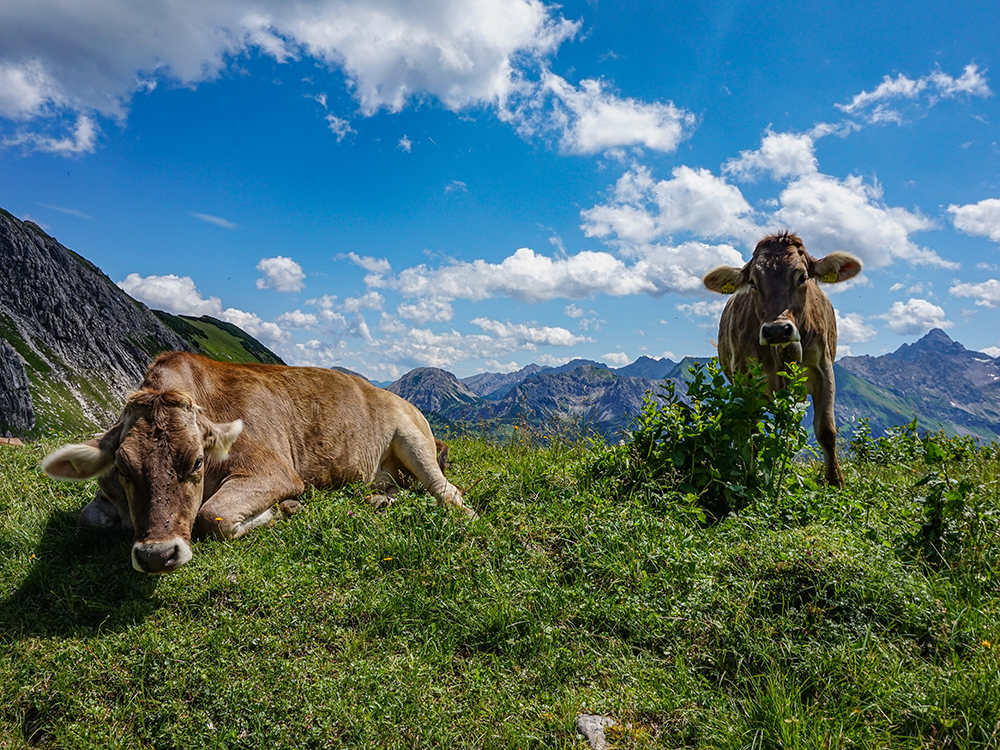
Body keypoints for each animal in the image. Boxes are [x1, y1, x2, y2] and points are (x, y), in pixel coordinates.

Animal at [42, 352, 472, 576]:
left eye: (197, 462)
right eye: (124, 468)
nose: (157, 555)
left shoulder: (274, 471)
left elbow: (211, 516)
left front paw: (286, 508)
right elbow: (87, 519)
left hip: (412, 437)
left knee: (448, 492)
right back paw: (378, 500)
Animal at [704, 229, 860, 488]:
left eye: (802, 277)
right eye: (753, 283)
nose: (777, 330)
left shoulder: (824, 369)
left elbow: (826, 430)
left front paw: (836, 483)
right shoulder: (744, 377)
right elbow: (748, 432)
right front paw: (751, 478)